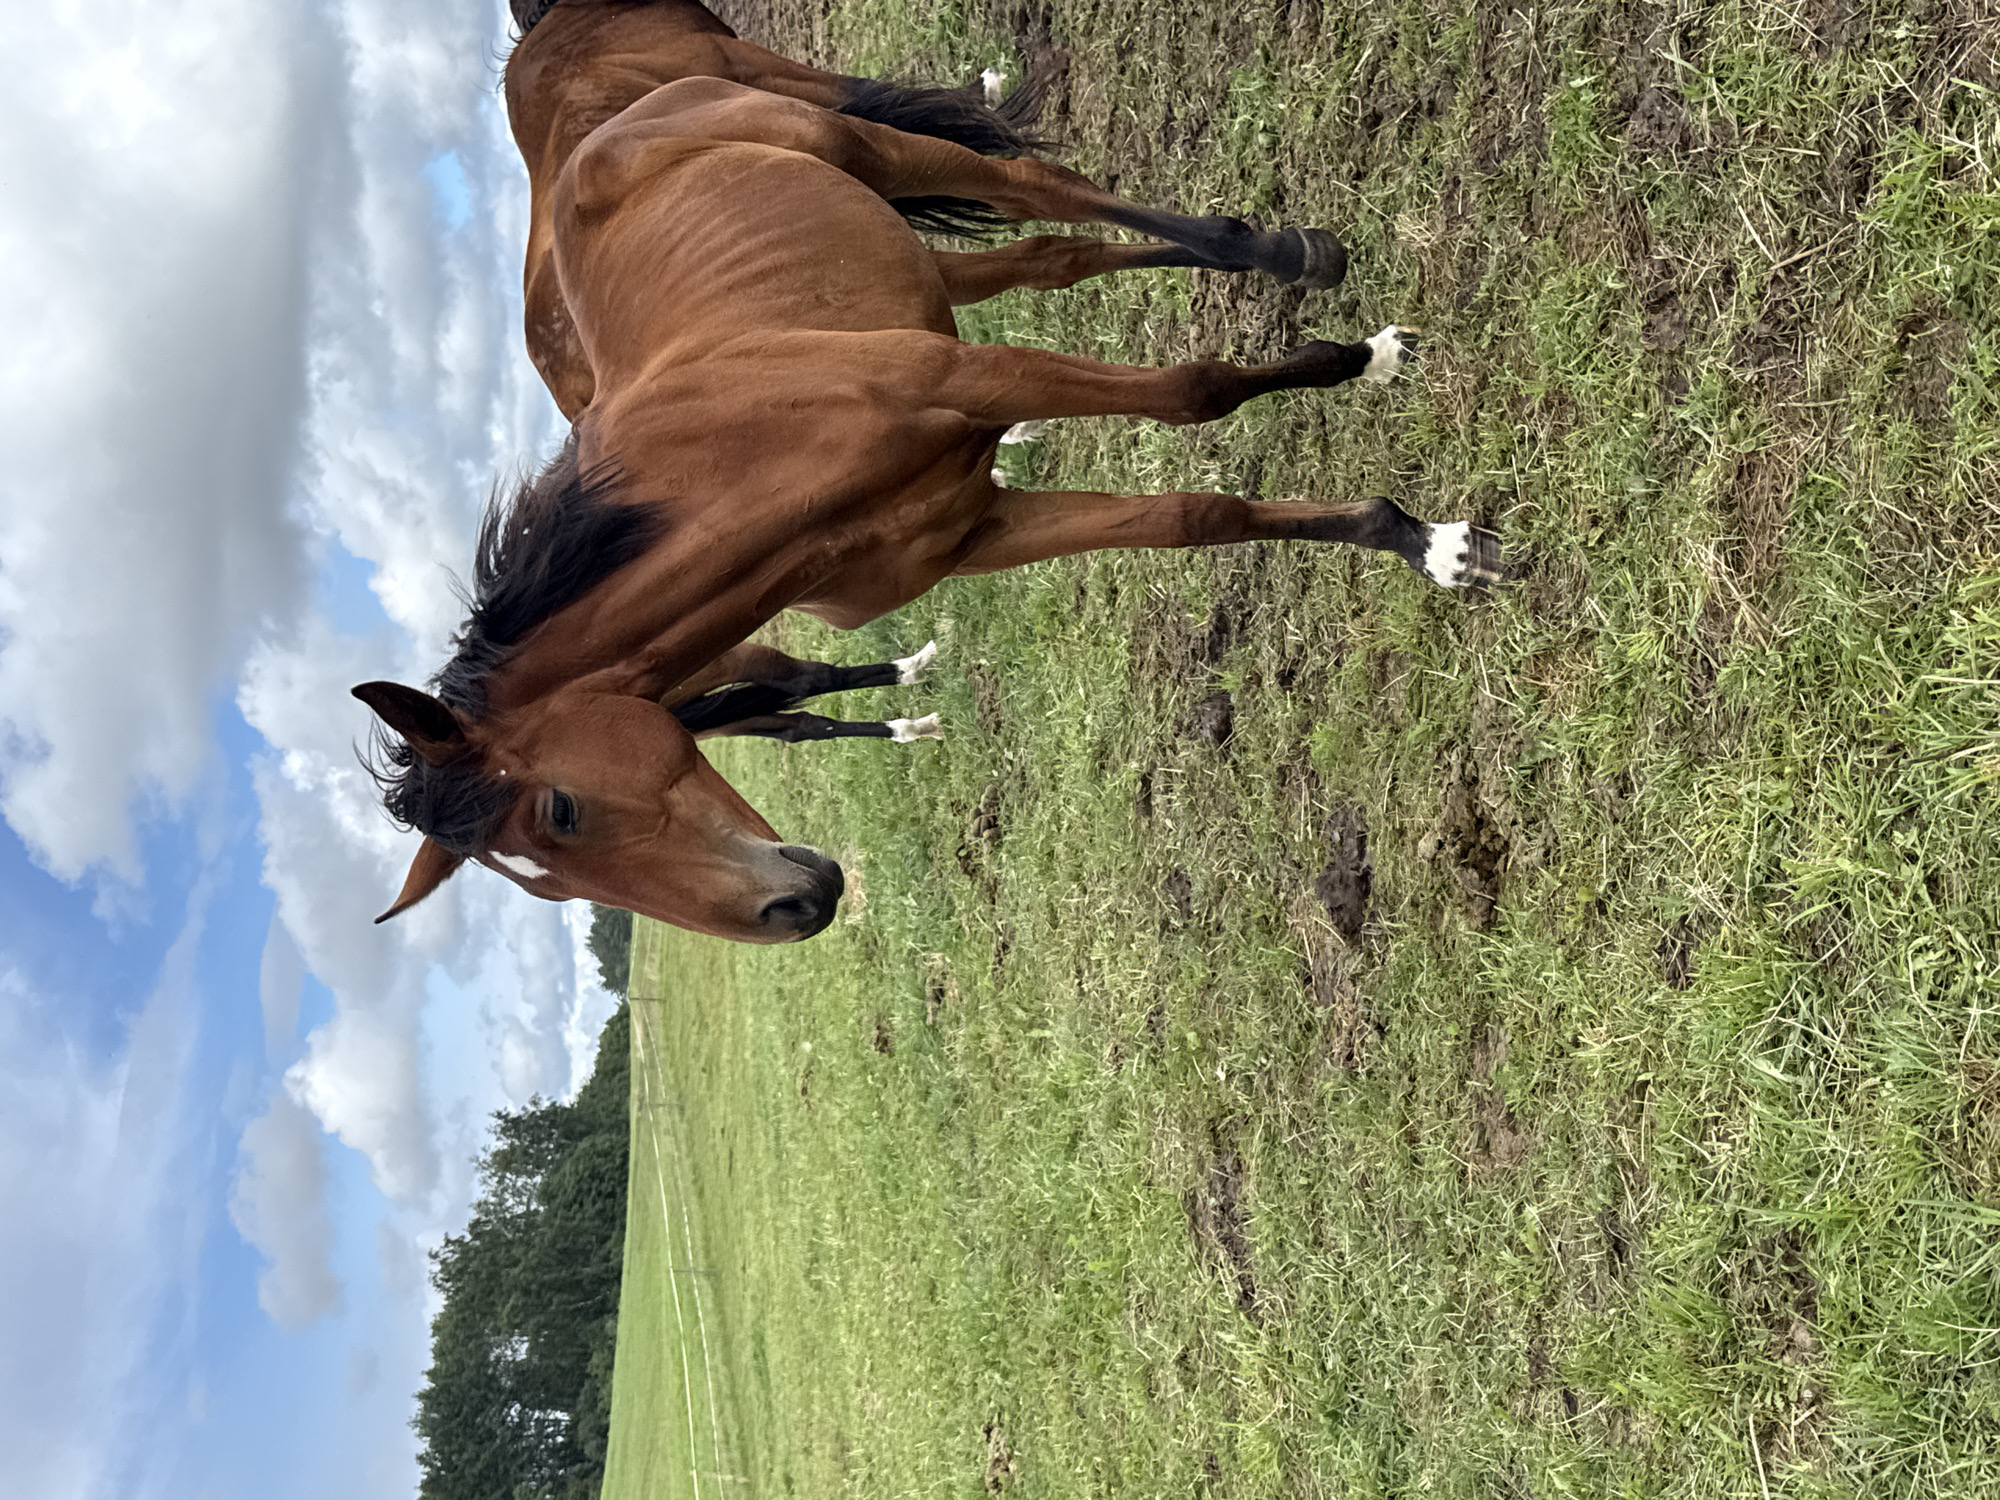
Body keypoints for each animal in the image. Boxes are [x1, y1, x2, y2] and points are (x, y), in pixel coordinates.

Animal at [356, 79, 1503, 942]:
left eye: (561, 810)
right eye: (543, 885)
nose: (793, 910)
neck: (747, 464)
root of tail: (617, 117)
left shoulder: (975, 380)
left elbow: (1194, 394)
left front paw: (1385, 431)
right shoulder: (977, 531)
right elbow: (1196, 515)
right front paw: (1413, 538)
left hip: (868, 151)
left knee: (1033, 186)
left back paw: (1284, 253)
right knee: (1050, 254)